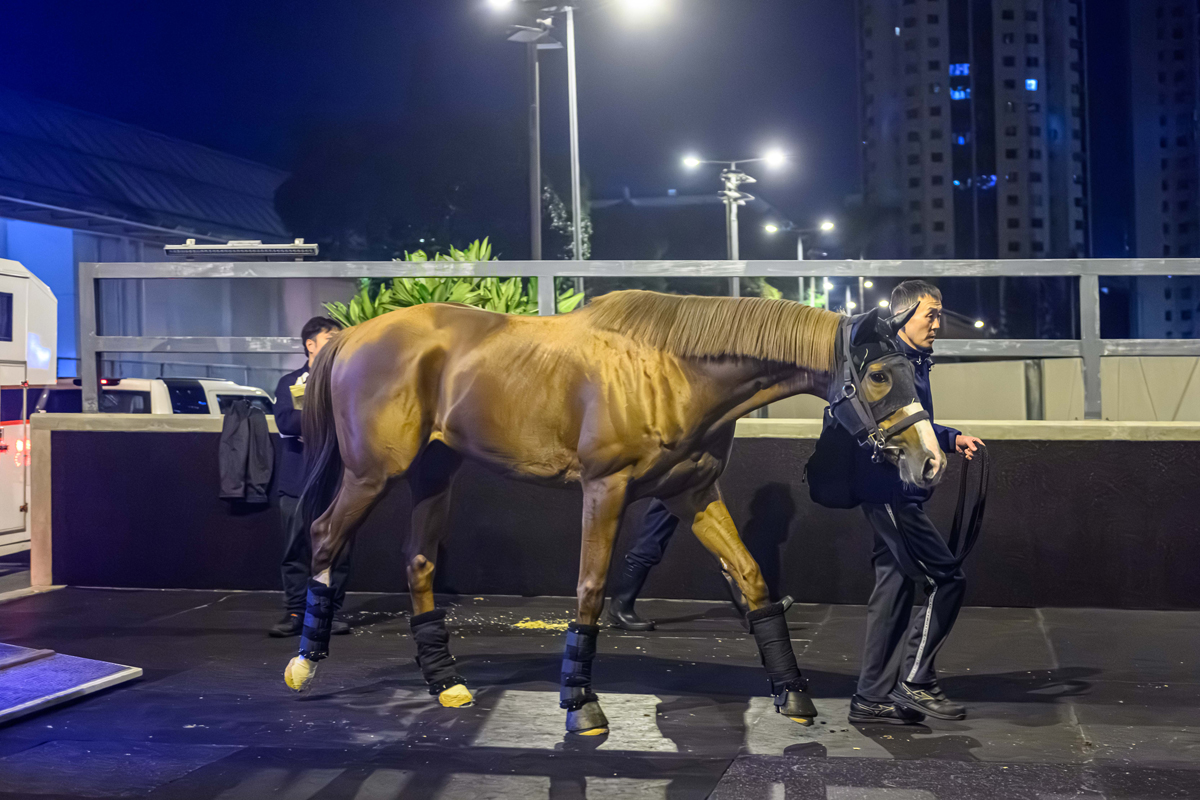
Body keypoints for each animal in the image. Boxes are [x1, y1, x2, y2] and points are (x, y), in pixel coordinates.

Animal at [285, 291, 940, 734]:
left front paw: (792, 693)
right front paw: (581, 703)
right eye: (877, 374)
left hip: (433, 473)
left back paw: (445, 682)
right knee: (323, 536)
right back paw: (304, 663)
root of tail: (353, 337)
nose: (930, 462)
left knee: (418, 562)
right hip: (372, 474)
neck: (674, 367)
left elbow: (752, 578)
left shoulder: (693, 494)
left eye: (913, 369)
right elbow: (592, 587)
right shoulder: (606, 489)